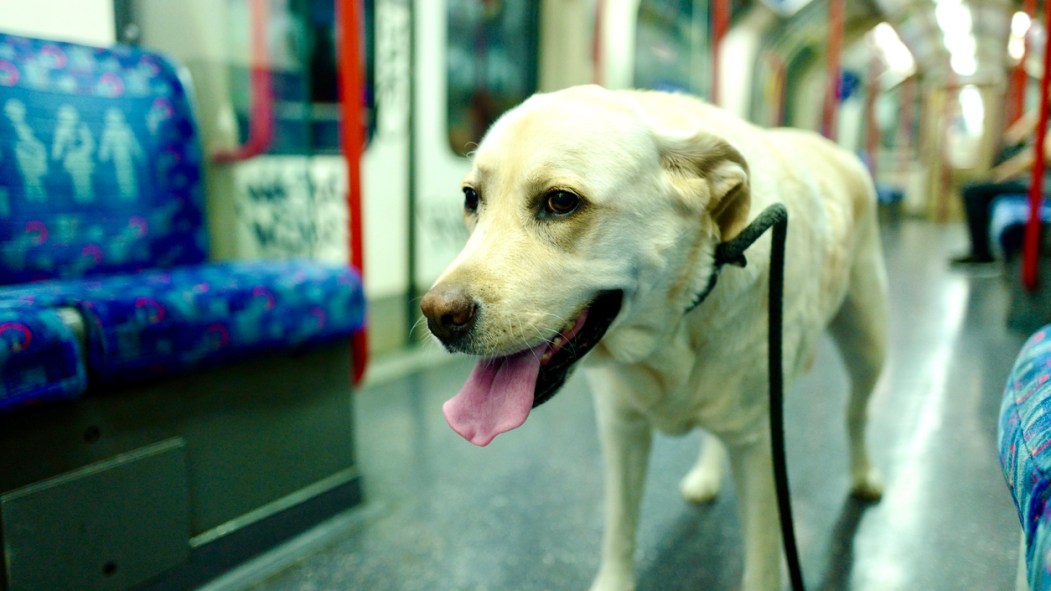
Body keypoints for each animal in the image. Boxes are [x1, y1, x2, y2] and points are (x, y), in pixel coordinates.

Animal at [418, 84, 887, 588]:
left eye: (561, 201)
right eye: (471, 198)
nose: (438, 316)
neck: (670, 332)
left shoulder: (762, 452)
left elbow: (762, 567)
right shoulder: (621, 431)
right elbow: (620, 530)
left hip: (868, 346)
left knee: (856, 413)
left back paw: (864, 475)